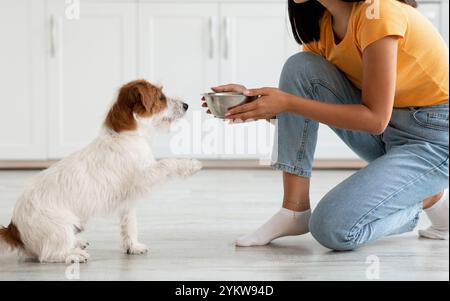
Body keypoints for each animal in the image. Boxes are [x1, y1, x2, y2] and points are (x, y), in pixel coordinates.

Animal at [0, 78, 200, 262]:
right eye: (161, 97)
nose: (186, 105)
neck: (125, 135)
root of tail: (14, 229)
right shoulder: (145, 175)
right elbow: (167, 163)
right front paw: (191, 164)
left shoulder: (128, 200)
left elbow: (130, 224)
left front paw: (132, 246)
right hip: (61, 226)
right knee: (48, 254)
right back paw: (74, 255)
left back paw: (77, 243)